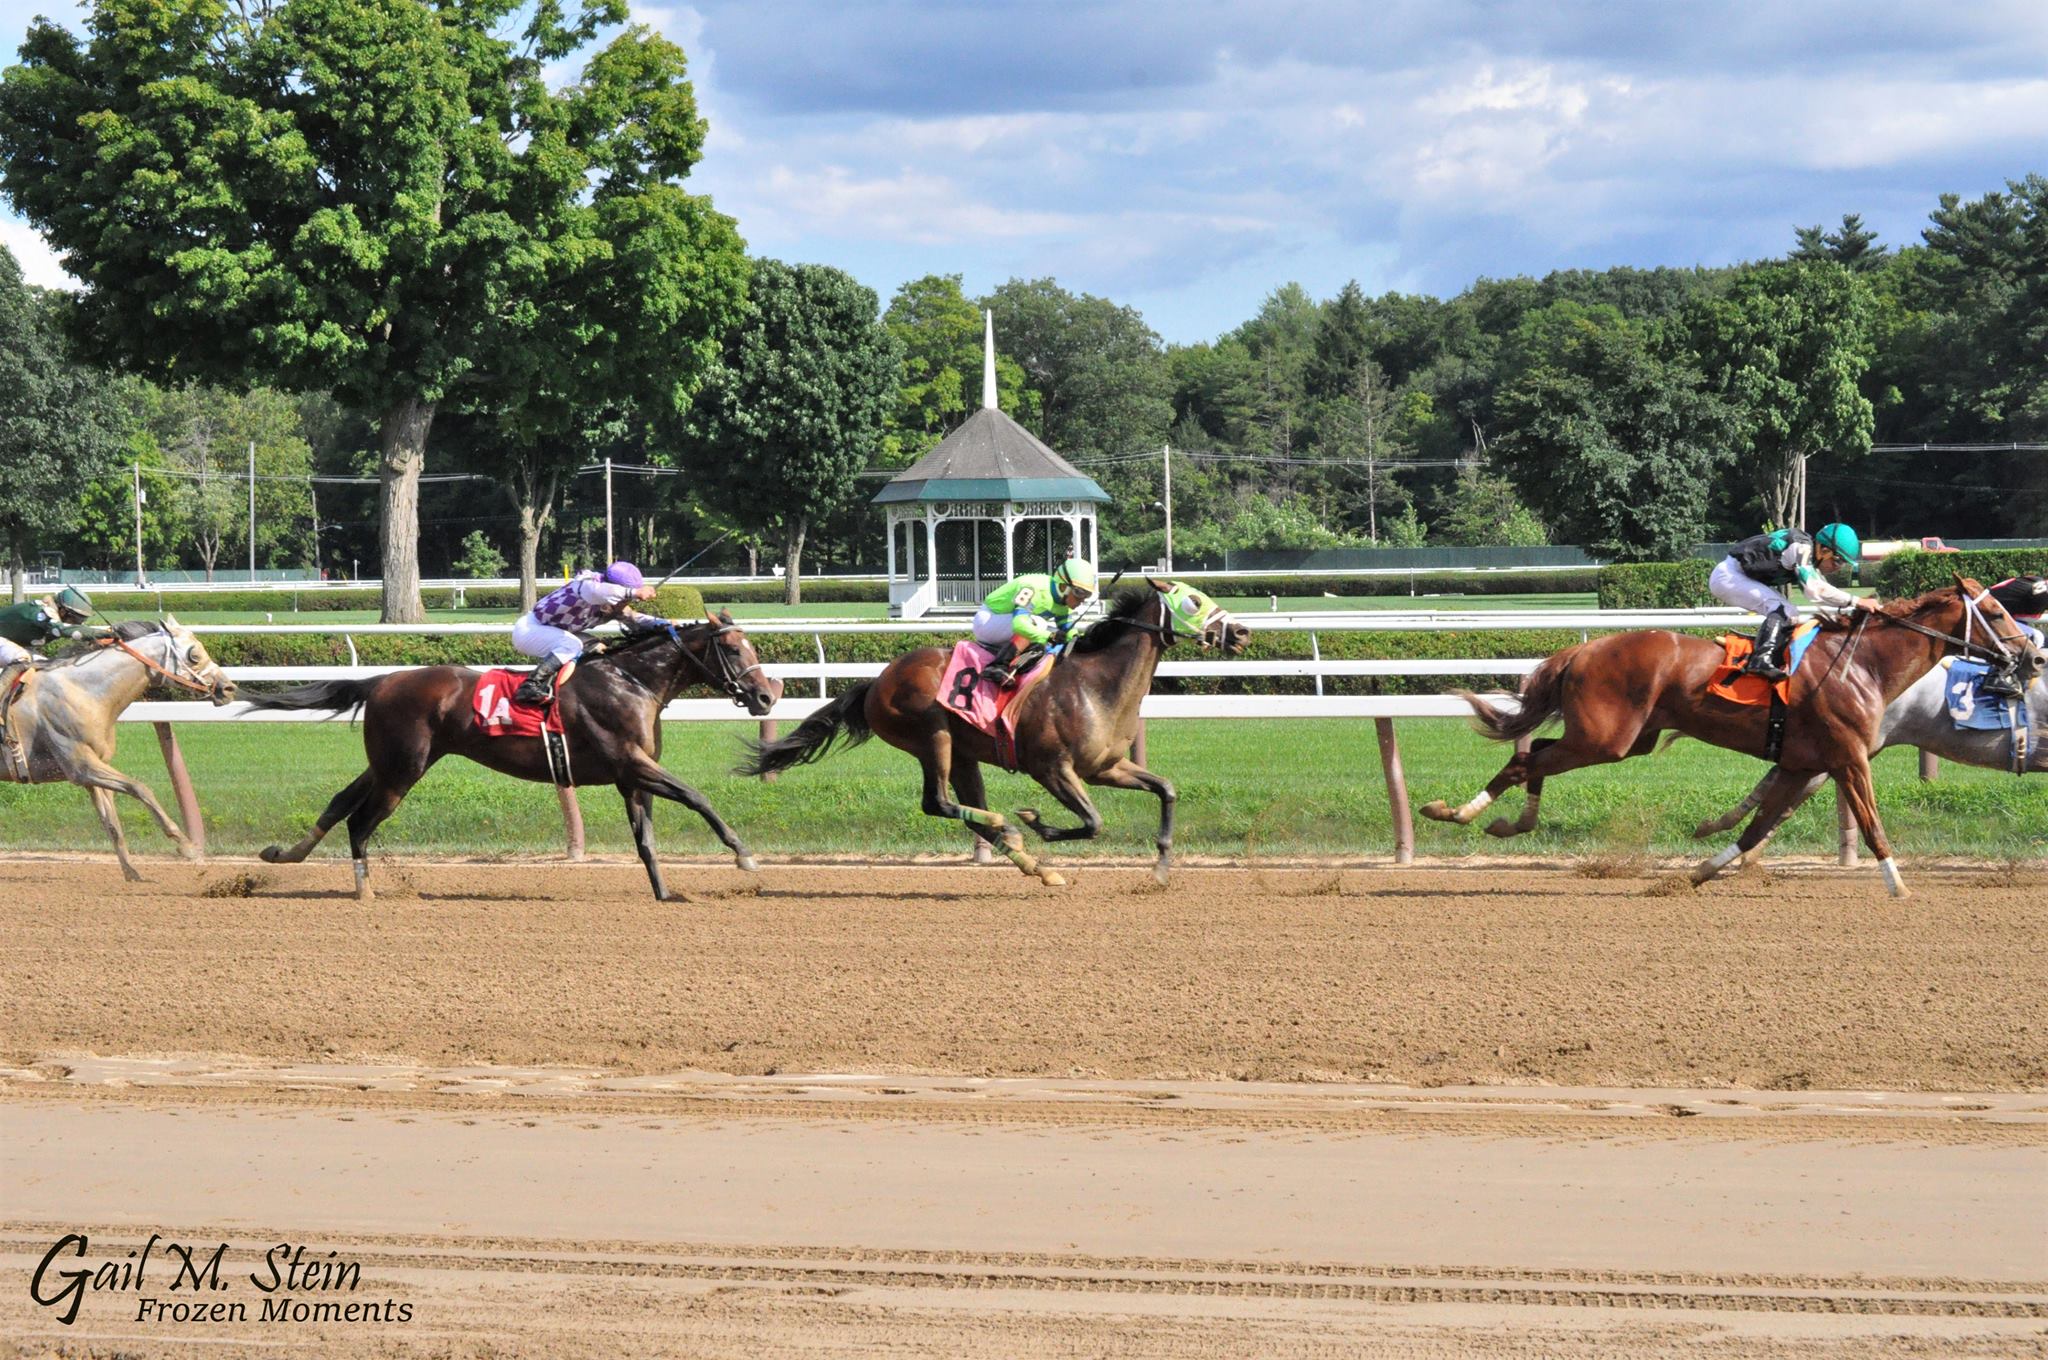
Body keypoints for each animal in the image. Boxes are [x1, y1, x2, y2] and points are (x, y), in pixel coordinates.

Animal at [0, 618, 237, 879]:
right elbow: (140, 788)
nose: (228, 688)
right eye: (194, 654)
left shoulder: (94, 770)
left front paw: (132, 874)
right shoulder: (80, 766)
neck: (84, 693)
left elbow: (112, 823)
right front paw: (187, 845)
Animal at [250, 611, 782, 901]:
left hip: (387, 764)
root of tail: (380, 681)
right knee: (360, 822)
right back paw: (364, 890)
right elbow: (697, 796)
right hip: (403, 770)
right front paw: (744, 856)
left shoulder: (630, 777)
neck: (632, 681)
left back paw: (284, 855)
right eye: (735, 650)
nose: (765, 696)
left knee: (340, 803)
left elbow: (646, 841)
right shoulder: (630, 762)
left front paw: (666, 895)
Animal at [737, 580, 1252, 885]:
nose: (1242, 632)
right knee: (937, 802)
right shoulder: (1052, 769)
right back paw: (1010, 829)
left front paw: (1162, 867)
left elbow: (1166, 789)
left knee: (962, 806)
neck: (1096, 685)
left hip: (964, 754)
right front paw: (1034, 820)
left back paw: (1030, 863)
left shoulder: (1106, 767)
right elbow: (1092, 822)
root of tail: (875, 682)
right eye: (1193, 600)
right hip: (933, 737)